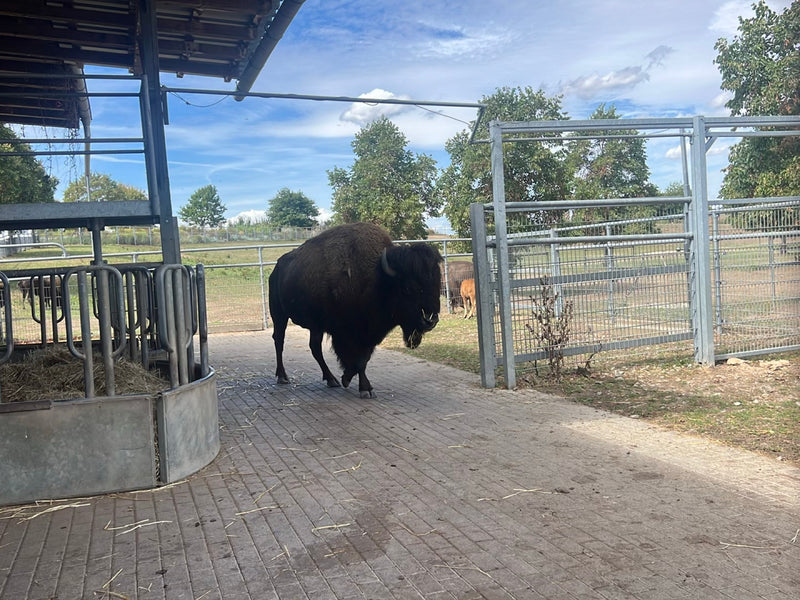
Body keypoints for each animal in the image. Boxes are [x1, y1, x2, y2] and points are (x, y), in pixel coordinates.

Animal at [268, 222, 442, 398]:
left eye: (437, 284)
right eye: (408, 288)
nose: (430, 320)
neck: (378, 278)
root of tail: (277, 268)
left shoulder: (367, 335)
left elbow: (362, 360)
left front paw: (348, 379)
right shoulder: (345, 333)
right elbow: (357, 360)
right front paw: (364, 388)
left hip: (315, 326)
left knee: (314, 347)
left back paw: (331, 380)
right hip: (279, 315)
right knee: (279, 340)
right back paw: (283, 377)